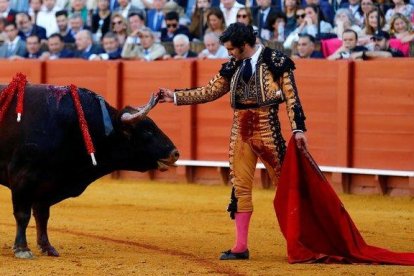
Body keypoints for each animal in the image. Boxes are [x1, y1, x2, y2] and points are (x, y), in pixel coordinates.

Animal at [0, 84, 177, 258]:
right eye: (147, 131)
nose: (175, 153)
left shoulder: (49, 182)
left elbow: (42, 215)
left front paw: (47, 247)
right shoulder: (22, 177)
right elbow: (23, 214)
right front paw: (22, 249)